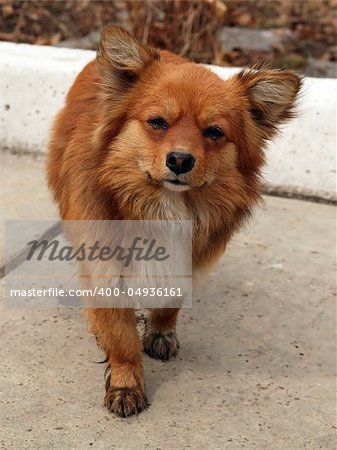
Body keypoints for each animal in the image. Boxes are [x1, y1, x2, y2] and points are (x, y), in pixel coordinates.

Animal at [46, 26, 300, 416]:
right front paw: (126, 382)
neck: (162, 207)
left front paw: (160, 331)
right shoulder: (105, 268)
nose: (180, 160)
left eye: (213, 132)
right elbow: (120, 335)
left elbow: (170, 301)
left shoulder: (192, 258)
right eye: (157, 123)